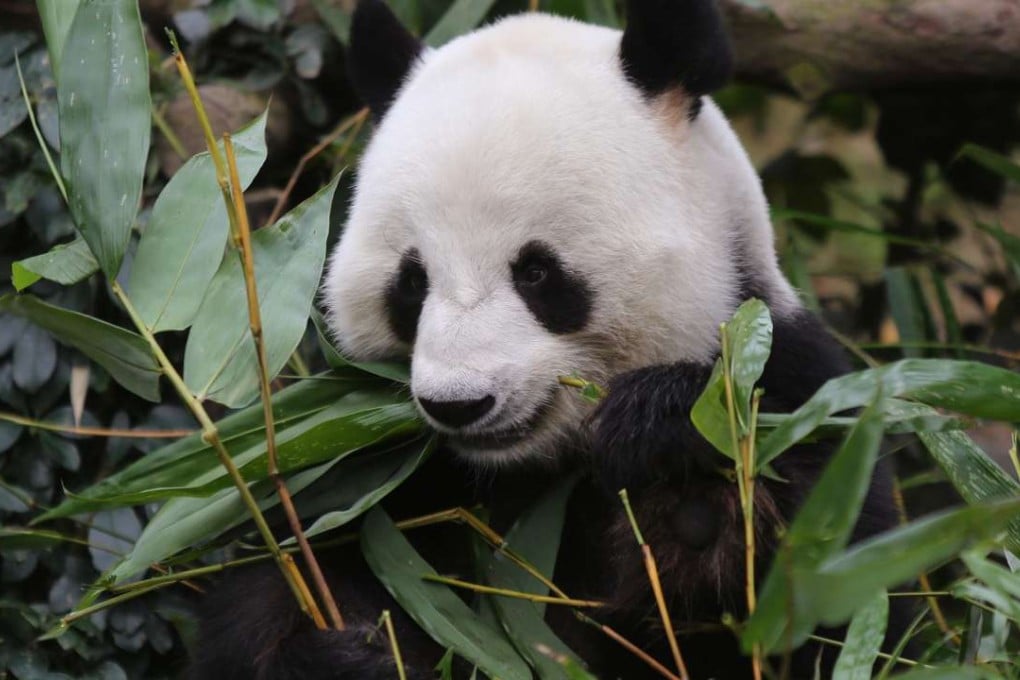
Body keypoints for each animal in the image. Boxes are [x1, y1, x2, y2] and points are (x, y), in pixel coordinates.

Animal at [190, 0, 905, 678]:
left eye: (536, 272)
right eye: (412, 282)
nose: (460, 404)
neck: (534, 466)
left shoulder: (796, 385)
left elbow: (825, 594)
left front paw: (662, 431)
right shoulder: (376, 478)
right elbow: (281, 576)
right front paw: (351, 654)